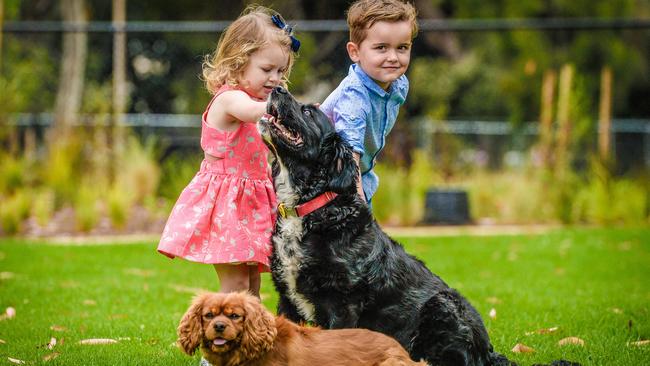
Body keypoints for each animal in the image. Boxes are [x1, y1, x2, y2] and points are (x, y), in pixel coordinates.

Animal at [256, 86, 576, 366]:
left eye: (308, 111)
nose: (277, 89)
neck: (311, 208)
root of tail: (487, 351)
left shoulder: (342, 305)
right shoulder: (288, 300)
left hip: (443, 305)